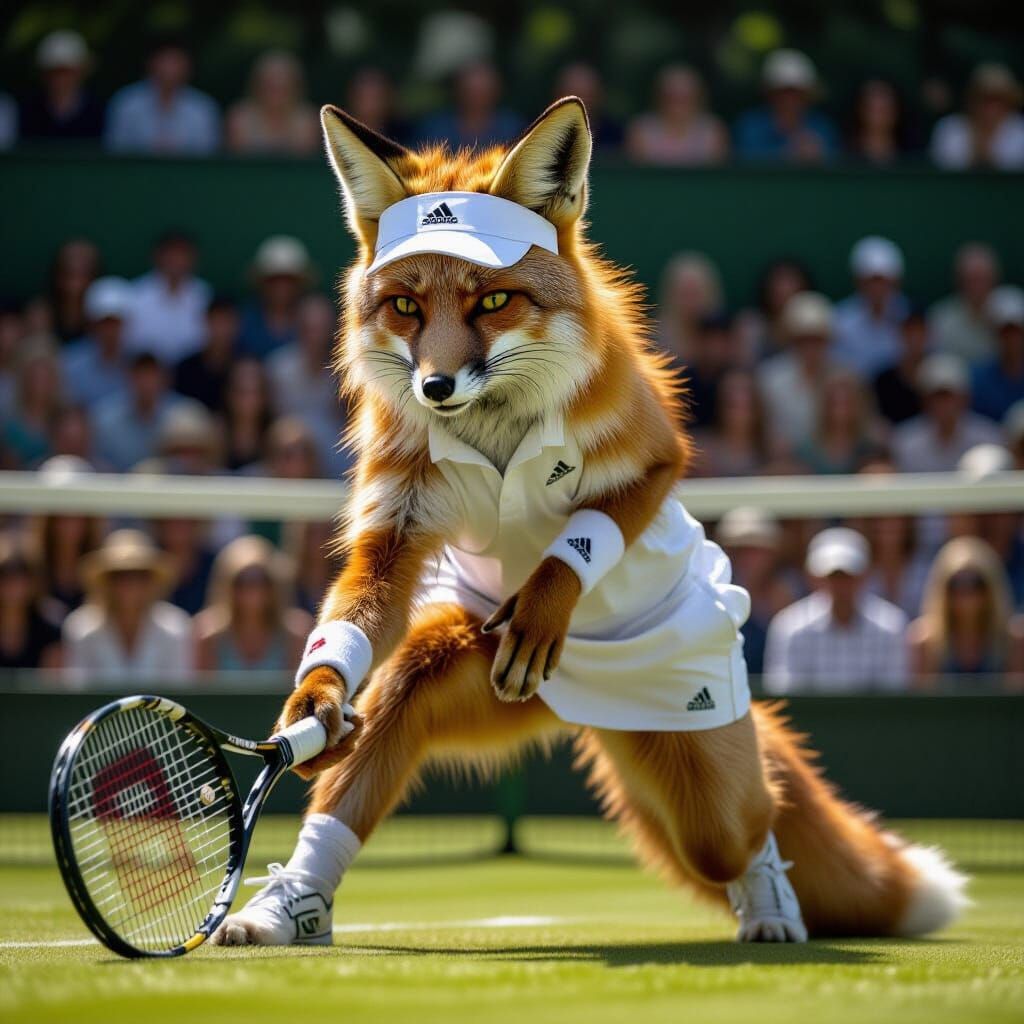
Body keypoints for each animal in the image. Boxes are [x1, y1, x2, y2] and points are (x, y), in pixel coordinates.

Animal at [211, 97, 967, 947]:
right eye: (406, 307)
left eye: (492, 301)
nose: (436, 386)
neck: (496, 429)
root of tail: (590, 712)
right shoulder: (397, 517)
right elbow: (351, 624)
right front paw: (312, 706)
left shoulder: (655, 451)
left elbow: (580, 542)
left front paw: (546, 604)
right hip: (452, 665)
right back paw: (287, 907)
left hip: (707, 776)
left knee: (746, 828)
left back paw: (771, 904)